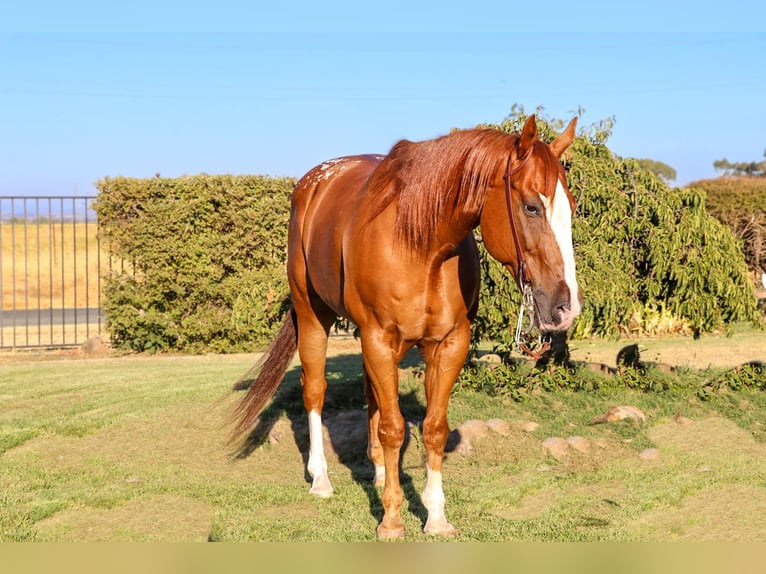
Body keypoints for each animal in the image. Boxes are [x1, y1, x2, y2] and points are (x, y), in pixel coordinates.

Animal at [231, 114, 582, 539]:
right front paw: (392, 519)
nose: (566, 307)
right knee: (315, 390)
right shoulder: (379, 338)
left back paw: (382, 473)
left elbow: (432, 428)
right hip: (314, 314)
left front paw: (435, 515)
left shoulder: (448, 344)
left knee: (371, 397)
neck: (421, 244)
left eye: (571, 208)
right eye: (531, 207)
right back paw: (321, 479)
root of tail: (312, 184)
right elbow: (393, 428)